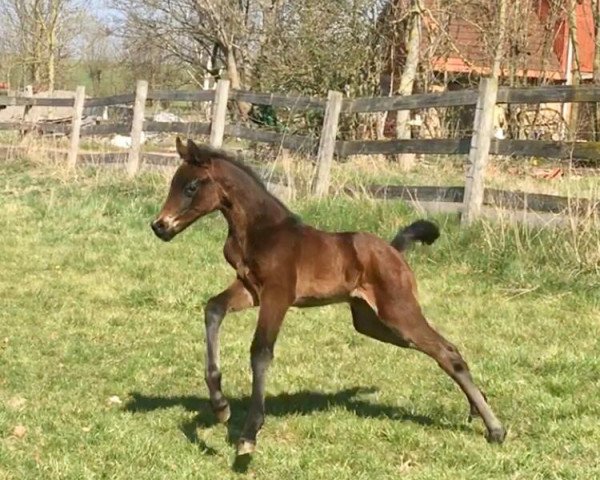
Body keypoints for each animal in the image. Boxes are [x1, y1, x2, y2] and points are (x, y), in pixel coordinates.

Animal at [151, 138, 506, 454]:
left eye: (191, 187)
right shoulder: (250, 289)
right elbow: (213, 309)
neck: (260, 230)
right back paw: (479, 411)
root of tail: (394, 250)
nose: (159, 226)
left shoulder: (278, 295)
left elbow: (261, 351)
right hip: (373, 323)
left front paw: (249, 434)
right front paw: (220, 404)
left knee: (446, 352)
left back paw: (496, 428)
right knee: (445, 349)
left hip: (398, 311)